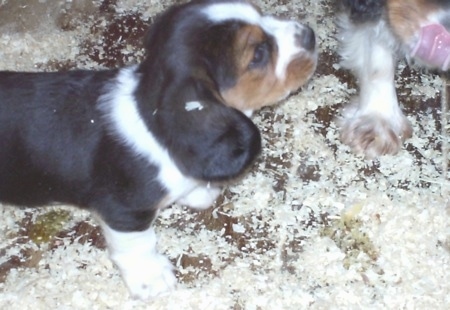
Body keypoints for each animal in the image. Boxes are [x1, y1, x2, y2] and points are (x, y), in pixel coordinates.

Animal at [0, 0, 316, 300]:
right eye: (259, 54)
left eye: (260, 14)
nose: (310, 35)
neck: (149, 114)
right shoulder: (124, 213)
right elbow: (139, 247)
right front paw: (151, 279)